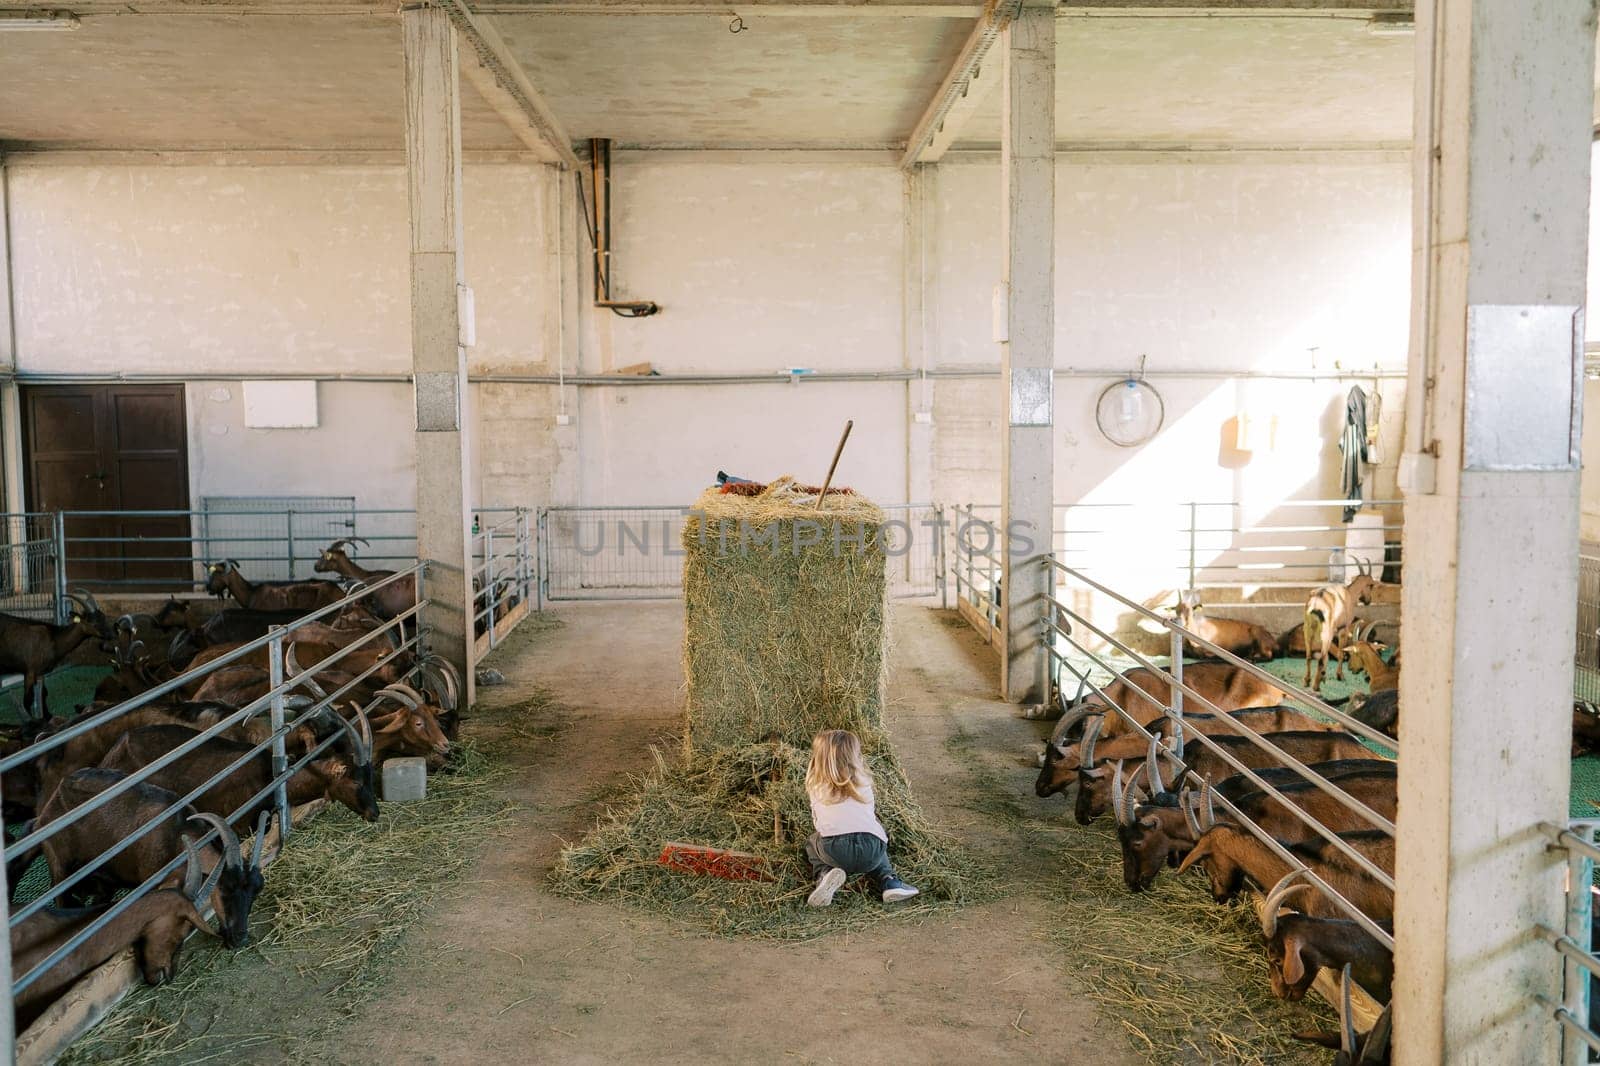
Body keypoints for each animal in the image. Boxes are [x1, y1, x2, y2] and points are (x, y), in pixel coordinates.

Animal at [0, 585, 112, 717]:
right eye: (92, 623)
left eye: (104, 618)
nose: (111, 634)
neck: (54, 638)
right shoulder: (30, 671)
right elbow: (27, 700)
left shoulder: (40, 673)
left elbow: (43, 694)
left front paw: (47, 716)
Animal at [1299, 557, 1376, 688]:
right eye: (1371, 585)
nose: (1368, 601)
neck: (1349, 593)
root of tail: (1315, 604)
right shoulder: (1343, 629)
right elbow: (1341, 653)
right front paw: (1340, 675)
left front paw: (1324, 675)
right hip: (1326, 633)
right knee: (1321, 658)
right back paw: (1316, 686)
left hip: (1308, 630)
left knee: (1309, 656)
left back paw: (1307, 680)